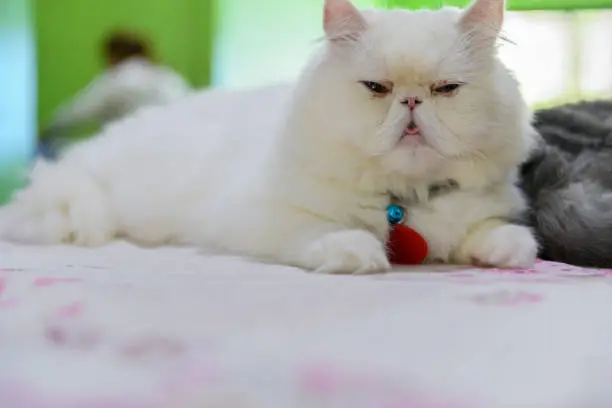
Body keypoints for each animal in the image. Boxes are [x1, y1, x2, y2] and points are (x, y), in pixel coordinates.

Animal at [0, 0, 536, 276]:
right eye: (377, 88)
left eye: (445, 89)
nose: (410, 103)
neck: (404, 198)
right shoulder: (257, 216)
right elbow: (322, 232)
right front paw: (362, 256)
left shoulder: (481, 209)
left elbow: (495, 232)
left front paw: (505, 252)